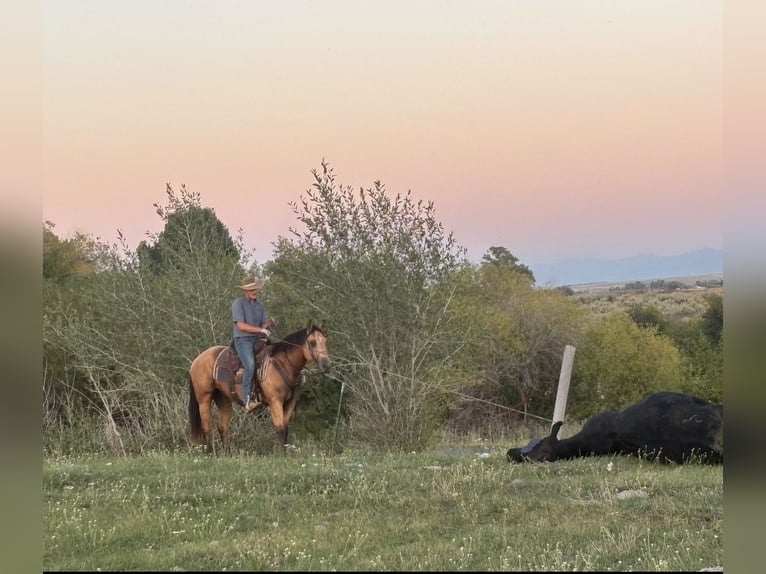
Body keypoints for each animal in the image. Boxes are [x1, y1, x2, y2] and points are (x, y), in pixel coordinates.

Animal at [188, 321, 330, 453]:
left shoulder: (290, 402)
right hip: (204, 398)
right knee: (206, 426)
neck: (282, 363)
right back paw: (210, 453)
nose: (326, 365)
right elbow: (280, 427)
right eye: (312, 342)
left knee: (222, 426)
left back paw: (227, 454)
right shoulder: (275, 401)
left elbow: (285, 427)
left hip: (223, 399)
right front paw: (282, 455)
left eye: (325, 341)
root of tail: (197, 360)